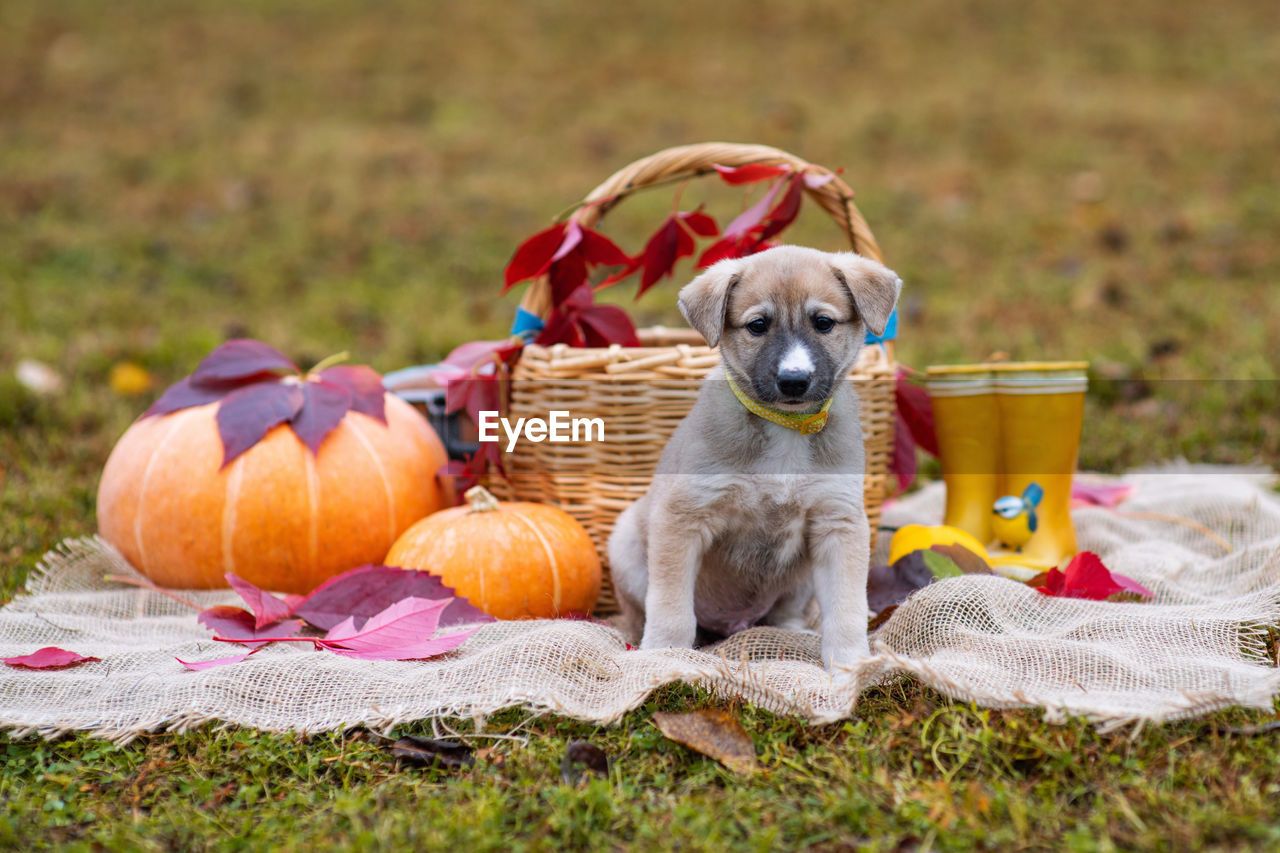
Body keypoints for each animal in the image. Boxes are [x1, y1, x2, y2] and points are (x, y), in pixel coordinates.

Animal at [606, 244, 901, 671]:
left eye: (823, 323)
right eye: (758, 326)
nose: (794, 381)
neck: (787, 426)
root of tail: (734, 625)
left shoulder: (838, 523)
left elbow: (846, 608)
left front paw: (850, 665)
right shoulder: (682, 517)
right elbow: (671, 606)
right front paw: (664, 654)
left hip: (801, 580)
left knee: (785, 613)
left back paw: (793, 633)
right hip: (626, 542)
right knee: (639, 611)